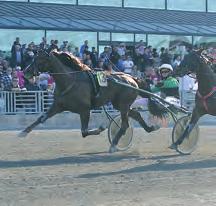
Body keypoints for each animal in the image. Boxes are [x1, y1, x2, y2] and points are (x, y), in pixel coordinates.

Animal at [20, 50, 162, 152]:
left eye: (40, 59)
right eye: (33, 57)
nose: (26, 72)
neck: (70, 81)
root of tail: (131, 78)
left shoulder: (85, 109)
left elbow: (84, 132)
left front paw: (101, 128)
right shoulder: (58, 106)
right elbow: (41, 118)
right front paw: (23, 132)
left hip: (123, 104)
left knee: (125, 125)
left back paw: (114, 145)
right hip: (120, 104)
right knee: (136, 114)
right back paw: (151, 128)